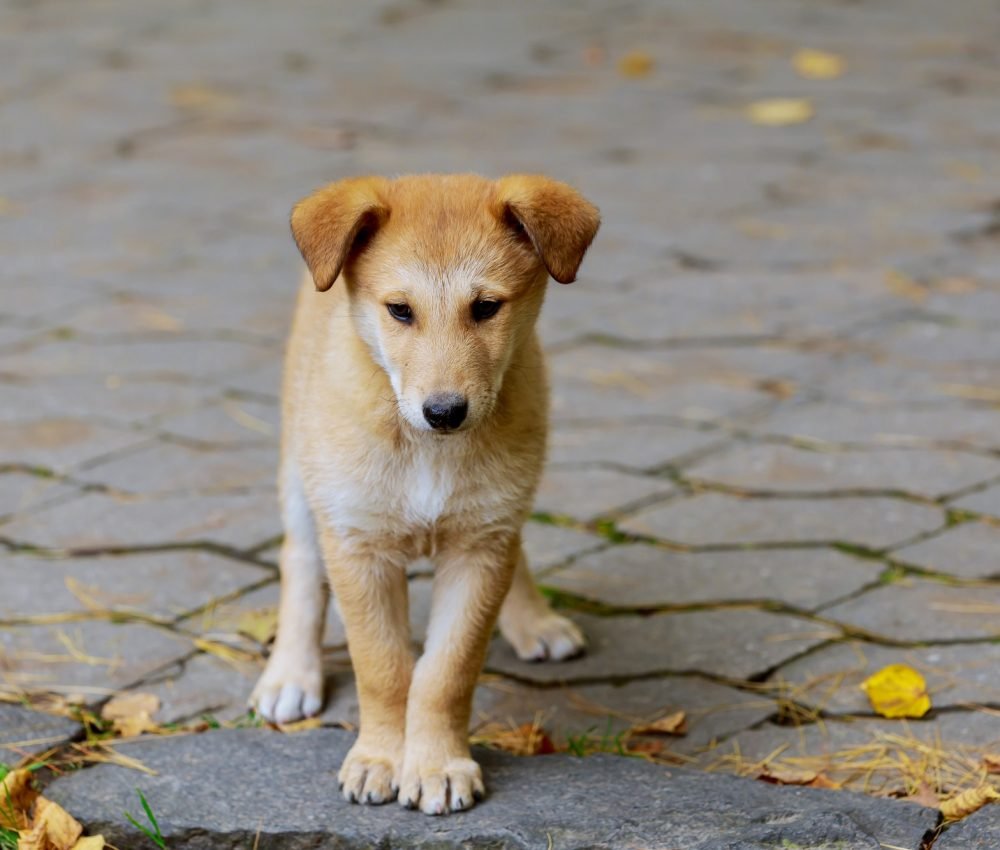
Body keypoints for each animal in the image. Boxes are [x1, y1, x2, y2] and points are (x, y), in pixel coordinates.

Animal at [254, 169, 596, 812]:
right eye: (399, 311)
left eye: (485, 308)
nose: (444, 412)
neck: (426, 450)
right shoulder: (358, 544)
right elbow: (384, 667)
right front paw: (381, 760)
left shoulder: (481, 544)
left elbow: (446, 672)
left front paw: (438, 765)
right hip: (300, 468)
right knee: (300, 560)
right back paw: (290, 674)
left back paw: (533, 621)